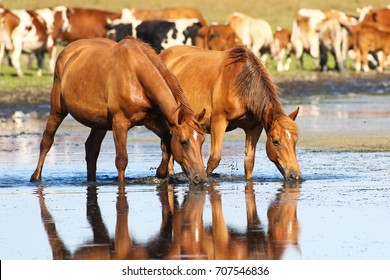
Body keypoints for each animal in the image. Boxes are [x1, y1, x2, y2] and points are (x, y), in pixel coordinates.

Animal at [30, 36, 207, 185]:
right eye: (184, 142)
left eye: (202, 141)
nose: (200, 178)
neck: (136, 74)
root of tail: (68, 51)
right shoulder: (120, 123)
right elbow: (121, 160)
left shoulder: (151, 121)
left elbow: (167, 143)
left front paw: (160, 172)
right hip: (57, 110)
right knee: (46, 141)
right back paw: (35, 177)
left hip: (99, 123)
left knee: (91, 150)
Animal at [160, 45, 304, 182]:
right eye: (275, 141)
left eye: (295, 140)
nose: (295, 176)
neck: (241, 86)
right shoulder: (218, 122)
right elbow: (214, 159)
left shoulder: (254, 128)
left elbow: (249, 162)